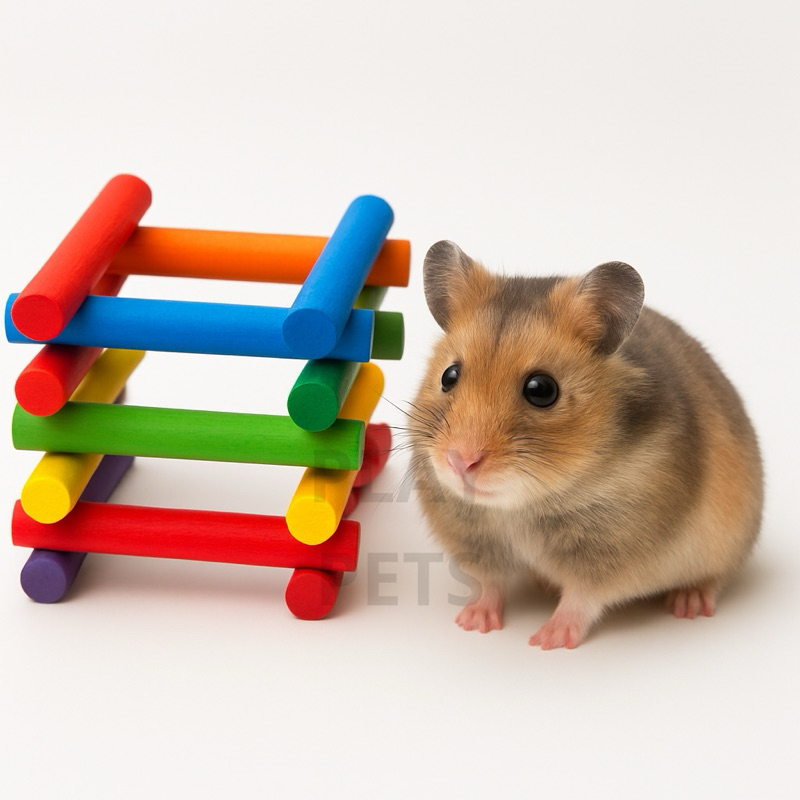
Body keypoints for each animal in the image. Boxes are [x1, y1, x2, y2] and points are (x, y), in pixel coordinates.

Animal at [409, 240, 763, 649]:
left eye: (542, 390)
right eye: (449, 376)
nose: (460, 461)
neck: (518, 508)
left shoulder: (614, 555)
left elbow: (581, 599)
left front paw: (546, 640)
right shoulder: (476, 543)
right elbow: (490, 584)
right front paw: (472, 623)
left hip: (731, 541)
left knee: (714, 578)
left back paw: (688, 604)